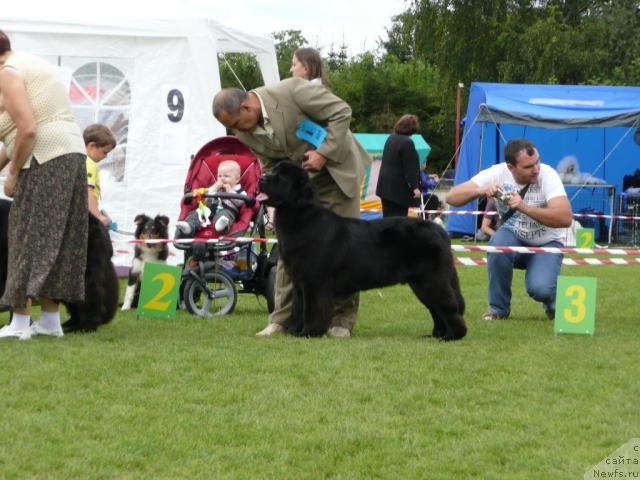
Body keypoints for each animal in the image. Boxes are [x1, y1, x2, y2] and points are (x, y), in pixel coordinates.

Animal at [258, 162, 468, 342]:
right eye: (273, 171)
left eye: (282, 177)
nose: (261, 178)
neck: (301, 219)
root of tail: (439, 231)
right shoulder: (300, 283)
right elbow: (298, 307)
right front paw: (296, 331)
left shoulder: (314, 282)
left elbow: (312, 309)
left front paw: (309, 332)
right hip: (421, 283)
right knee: (436, 310)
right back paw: (436, 335)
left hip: (431, 280)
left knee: (448, 306)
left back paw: (453, 336)